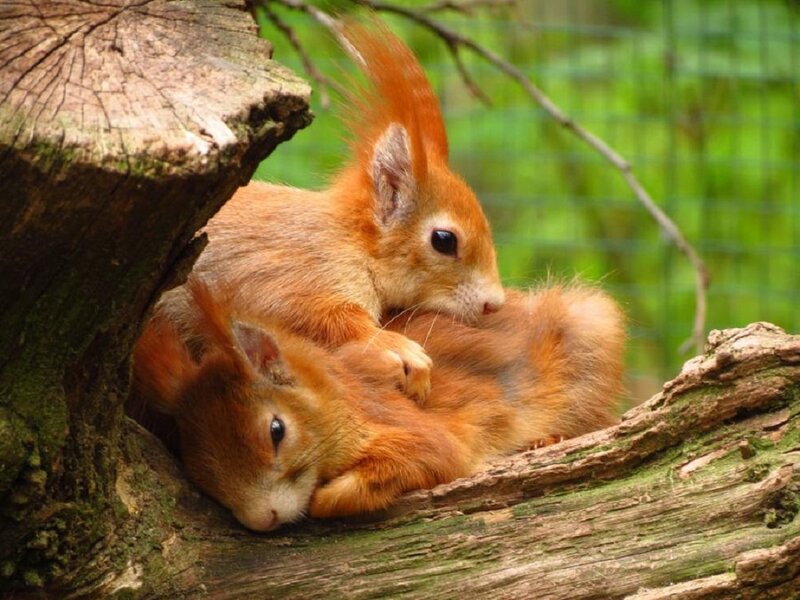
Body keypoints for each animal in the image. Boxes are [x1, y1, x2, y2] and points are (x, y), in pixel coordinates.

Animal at [130, 279, 625, 531]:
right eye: (198, 472)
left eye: (276, 431)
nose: (262, 520)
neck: (343, 400)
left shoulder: (409, 428)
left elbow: (422, 459)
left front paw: (323, 498)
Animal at [155, 19, 505, 403]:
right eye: (444, 240)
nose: (494, 303)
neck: (351, 241)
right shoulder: (281, 274)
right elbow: (305, 314)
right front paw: (396, 348)